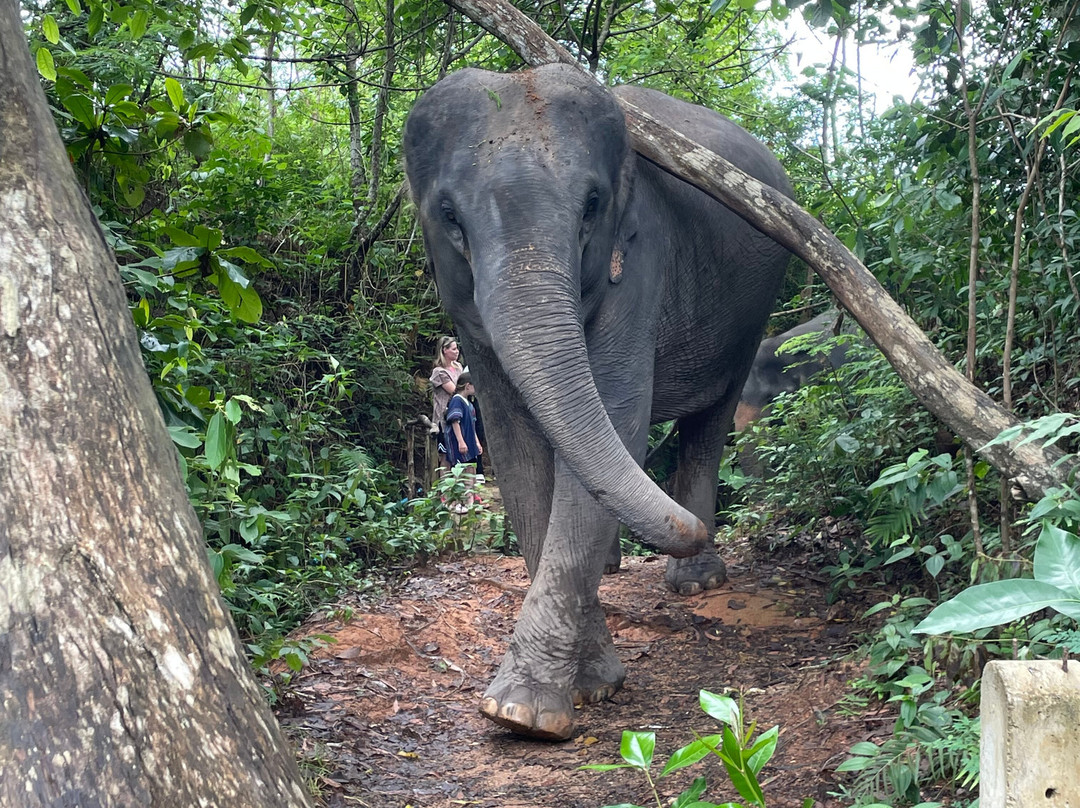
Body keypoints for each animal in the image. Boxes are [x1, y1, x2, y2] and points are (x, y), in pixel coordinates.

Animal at [403, 63, 792, 740]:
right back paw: (620, 566)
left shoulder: (641, 257)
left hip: (752, 313)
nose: (681, 533)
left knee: (712, 417)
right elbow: (514, 445)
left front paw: (528, 712)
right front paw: (577, 690)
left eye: (592, 205)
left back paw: (694, 580)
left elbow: (617, 414)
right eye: (448, 215)